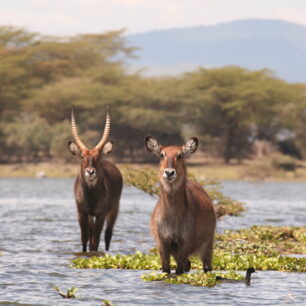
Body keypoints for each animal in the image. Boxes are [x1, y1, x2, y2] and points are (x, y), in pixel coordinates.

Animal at [68, 109, 123, 252]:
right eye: (82, 156)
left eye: (98, 157)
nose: (90, 172)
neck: (91, 196)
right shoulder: (82, 213)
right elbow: (84, 239)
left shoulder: (100, 214)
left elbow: (95, 242)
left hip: (114, 209)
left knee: (108, 235)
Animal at [145, 137, 216, 274]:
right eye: (162, 155)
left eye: (180, 155)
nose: (169, 172)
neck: (172, 217)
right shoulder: (163, 244)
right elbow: (166, 270)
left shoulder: (184, 244)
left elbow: (178, 271)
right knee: (187, 265)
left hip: (207, 245)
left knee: (206, 266)